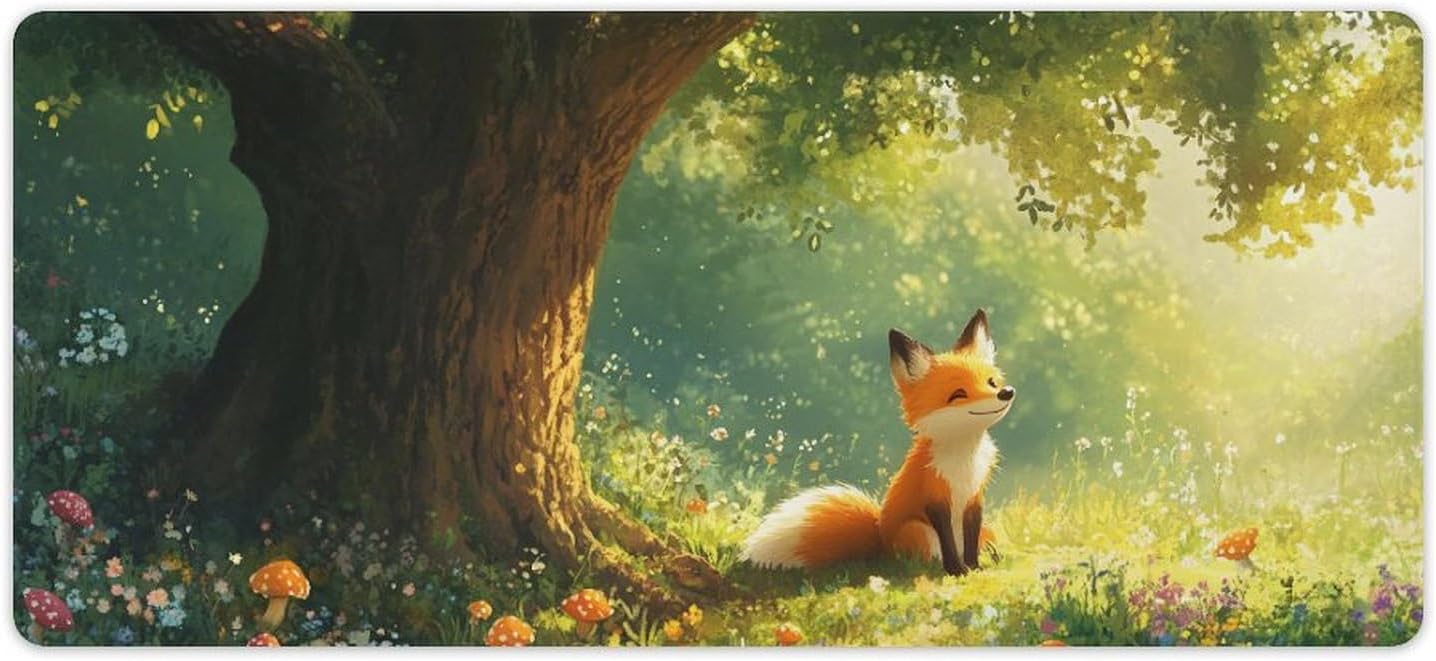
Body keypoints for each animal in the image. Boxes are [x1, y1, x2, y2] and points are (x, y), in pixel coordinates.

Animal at [742, 309, 1014, 576]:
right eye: (958, 394)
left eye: (991, 382)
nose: (1006, 392)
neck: (965, 458)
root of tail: (881, 540)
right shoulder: (934, 497)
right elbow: (947, 540)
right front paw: (957, 570)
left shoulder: (975, 497)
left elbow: (971, 537)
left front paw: (974, 566)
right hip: (917, 529)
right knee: (921, 559)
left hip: (988, 529)